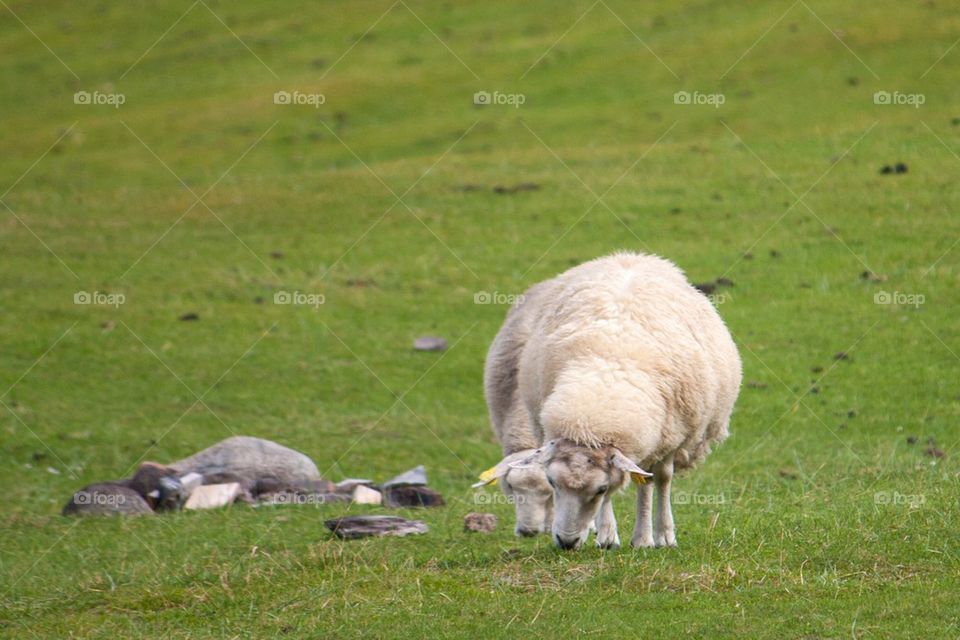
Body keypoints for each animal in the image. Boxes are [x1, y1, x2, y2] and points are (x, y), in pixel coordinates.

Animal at [482, 252, 741, 550]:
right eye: (553, 483)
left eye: (600, 488)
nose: (567, 542)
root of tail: (631, 257)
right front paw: (607, 535)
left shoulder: (669, 435)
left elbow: (659, 480)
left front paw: (655, 536)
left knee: (653, 480)